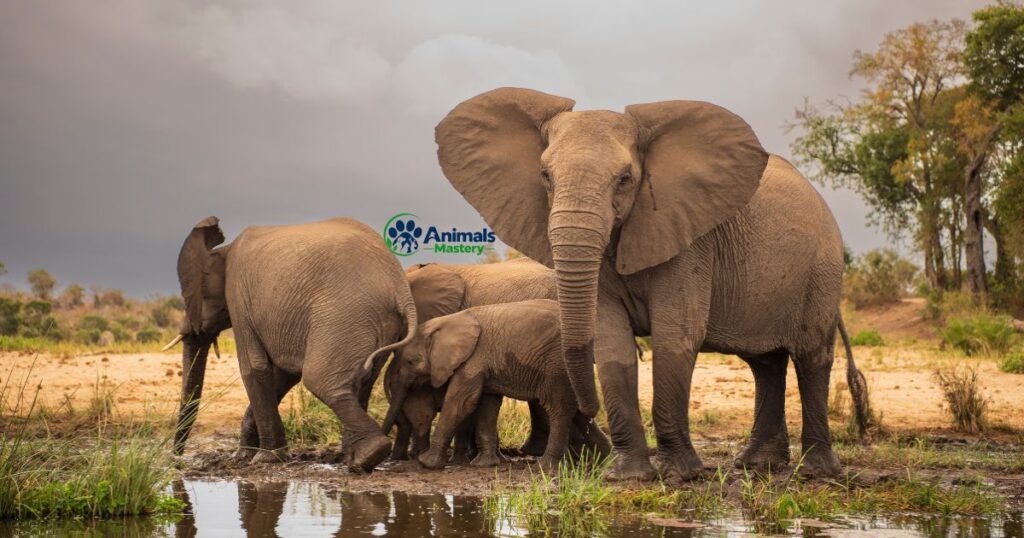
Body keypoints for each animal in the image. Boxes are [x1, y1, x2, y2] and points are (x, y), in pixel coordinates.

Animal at [166, 216, 416, 472]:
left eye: (188, 297)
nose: (176, 460)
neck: (223, 250)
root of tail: (401, 291)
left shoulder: (238, 298)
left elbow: (253, 368)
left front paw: (263, 459)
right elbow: (283, 374)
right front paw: (244, 456)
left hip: (344, 315)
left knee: (320, 380)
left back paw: (368, 456)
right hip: (376, 322)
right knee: (361, 381)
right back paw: (351, 459)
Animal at [380, 299, 611, 471]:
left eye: (411, 362)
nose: (384, 459)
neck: (447, 322)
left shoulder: (473, 359)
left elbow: (461, 403)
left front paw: (427, 463)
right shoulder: (484, 364)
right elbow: (486, 405)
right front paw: (484, 465)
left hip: (557, 366)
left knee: (558, 409)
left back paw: (545, 467)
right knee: (577, 411)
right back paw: (602, 459)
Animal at [434, 88, 870, 481]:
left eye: (625, 179)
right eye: (545, 176)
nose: (587, 415)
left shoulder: (690, 241)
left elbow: (676, 337)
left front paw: (680, 476)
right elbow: (612, 343)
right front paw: (627, 477)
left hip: (823, 268)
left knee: (811, 356)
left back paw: (816, 472)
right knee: (766, 363)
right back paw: (756, 466)